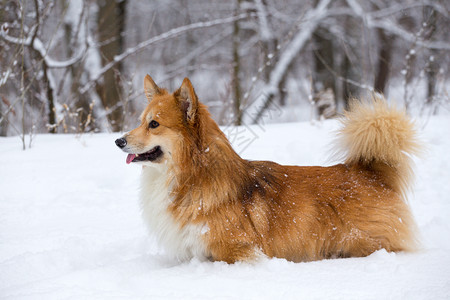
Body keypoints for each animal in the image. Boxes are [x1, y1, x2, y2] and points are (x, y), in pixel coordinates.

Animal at [115, 75, 418, 262]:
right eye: (140, 121)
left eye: (154, 124)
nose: (118, 141)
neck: (193, 175)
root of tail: (370, 171)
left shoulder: (238, 252)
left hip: (363, 243)